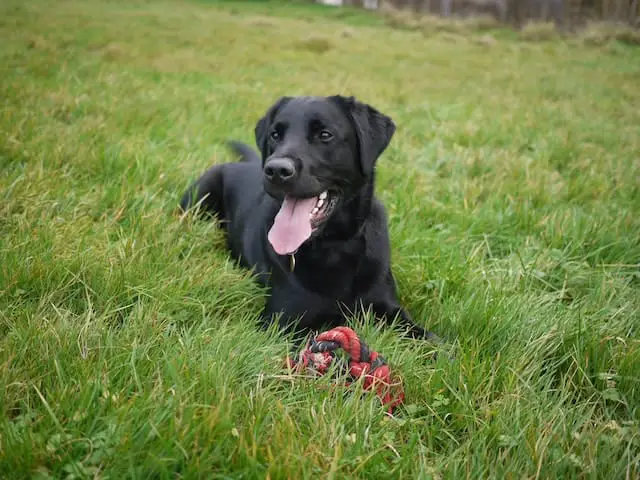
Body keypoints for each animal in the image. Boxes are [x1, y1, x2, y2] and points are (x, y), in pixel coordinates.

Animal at [180, 95, 440, 344]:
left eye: (325, 135)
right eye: (275, 134)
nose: (276, 170)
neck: (335, 245)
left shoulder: (389, 308)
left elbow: (432, 340)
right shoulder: (281, 323)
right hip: (202, 192)